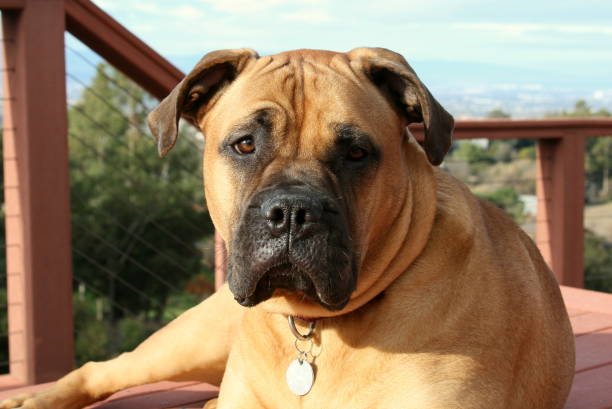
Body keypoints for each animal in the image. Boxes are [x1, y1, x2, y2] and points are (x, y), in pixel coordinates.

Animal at [0, 47, 572, 408]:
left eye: (356, 153)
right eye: (244, 144)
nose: (293, 212)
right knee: (103, 369)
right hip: (189, 342)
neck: (317, 329)